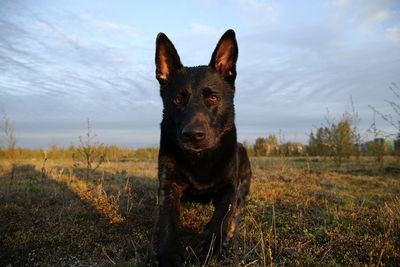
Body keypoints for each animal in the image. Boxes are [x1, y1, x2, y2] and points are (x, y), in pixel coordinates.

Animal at [155, 29, 252, 267]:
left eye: (213, 97)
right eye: (178, 99)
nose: (193, 135)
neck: (200, 159)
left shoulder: (229, 186)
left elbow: (224, 212)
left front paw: (213, 244)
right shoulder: (168, 185)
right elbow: (168, 220)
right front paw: (169, 254)